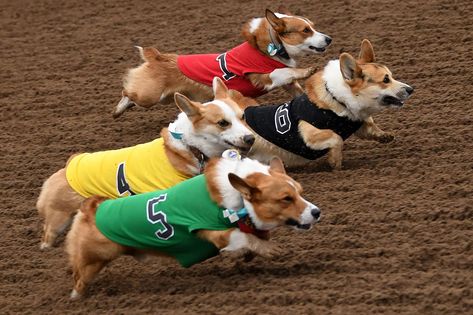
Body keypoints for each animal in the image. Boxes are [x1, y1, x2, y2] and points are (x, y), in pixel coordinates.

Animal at [36, 78, 254, 249]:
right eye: (222, 123)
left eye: (243, 116)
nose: (250, 138)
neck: (189, 147)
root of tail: (65, 170)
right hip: (59, 217)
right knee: (48, 235)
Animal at [66, 157, 320, 300]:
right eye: (286, 199)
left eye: (299, 191)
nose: (317, 212)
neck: (236, 199)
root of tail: (92, 208)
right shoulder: (217, 233)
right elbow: (248, 239)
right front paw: (272, 250)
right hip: (92, 262)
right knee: (79, 279)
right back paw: (77, 298)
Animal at [112, 7, 330, 118]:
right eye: (305, 30)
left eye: (313, 26)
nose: (329, 39)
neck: (271, 47)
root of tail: (157, 56)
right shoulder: (262, 77)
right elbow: (286, 71)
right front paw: (308, 70)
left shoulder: (288, 85)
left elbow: (295, 86)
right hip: (149, 96)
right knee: (127, 92)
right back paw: (118, 110)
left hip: (164, 97)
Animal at [243, 39, 412, 170]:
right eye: (385, 80)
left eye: (391, 76)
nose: (411, 89)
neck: (338, 99)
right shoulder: (310, 135)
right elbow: (336, 137)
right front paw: (335, 164)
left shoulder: (358, 125)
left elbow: (370, 128)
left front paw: (385, 136)